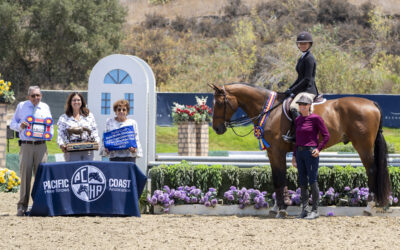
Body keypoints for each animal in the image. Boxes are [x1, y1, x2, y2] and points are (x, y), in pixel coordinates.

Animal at [209, 82, 390, 217]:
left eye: (220, 103)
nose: (217, 128)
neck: (269, 111)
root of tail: (372, 103)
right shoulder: (272, 152)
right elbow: (276, 178)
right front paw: (277, 207)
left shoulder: (278, 151)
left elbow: (280, 177)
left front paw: (282, 209)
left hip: (363, 144)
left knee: (371, 170)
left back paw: (370, 205)